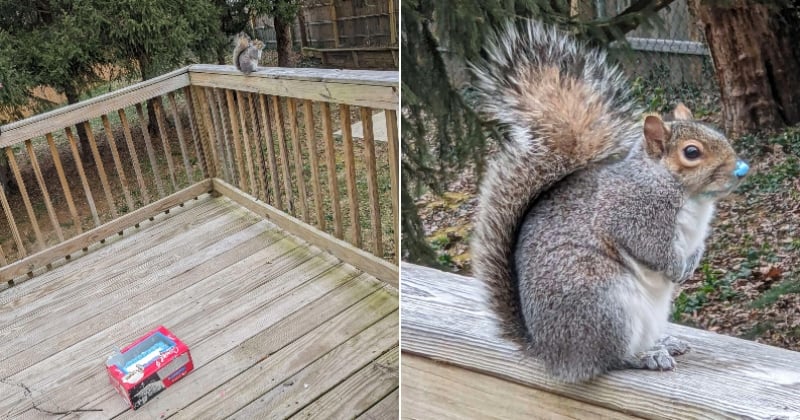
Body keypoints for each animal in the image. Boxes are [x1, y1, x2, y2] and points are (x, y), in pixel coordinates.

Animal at [468, 20, 752, 384]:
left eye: (716, 131)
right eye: (691, 152)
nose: (741, 168)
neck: (691, 198)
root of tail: (551, 352)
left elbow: (695, 247)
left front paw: (691, 264)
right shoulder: (633, 215)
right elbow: (652, 249)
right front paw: (676, 269)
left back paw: (663, 343)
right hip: (605, 305)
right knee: (610, 359)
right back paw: (645, 356)